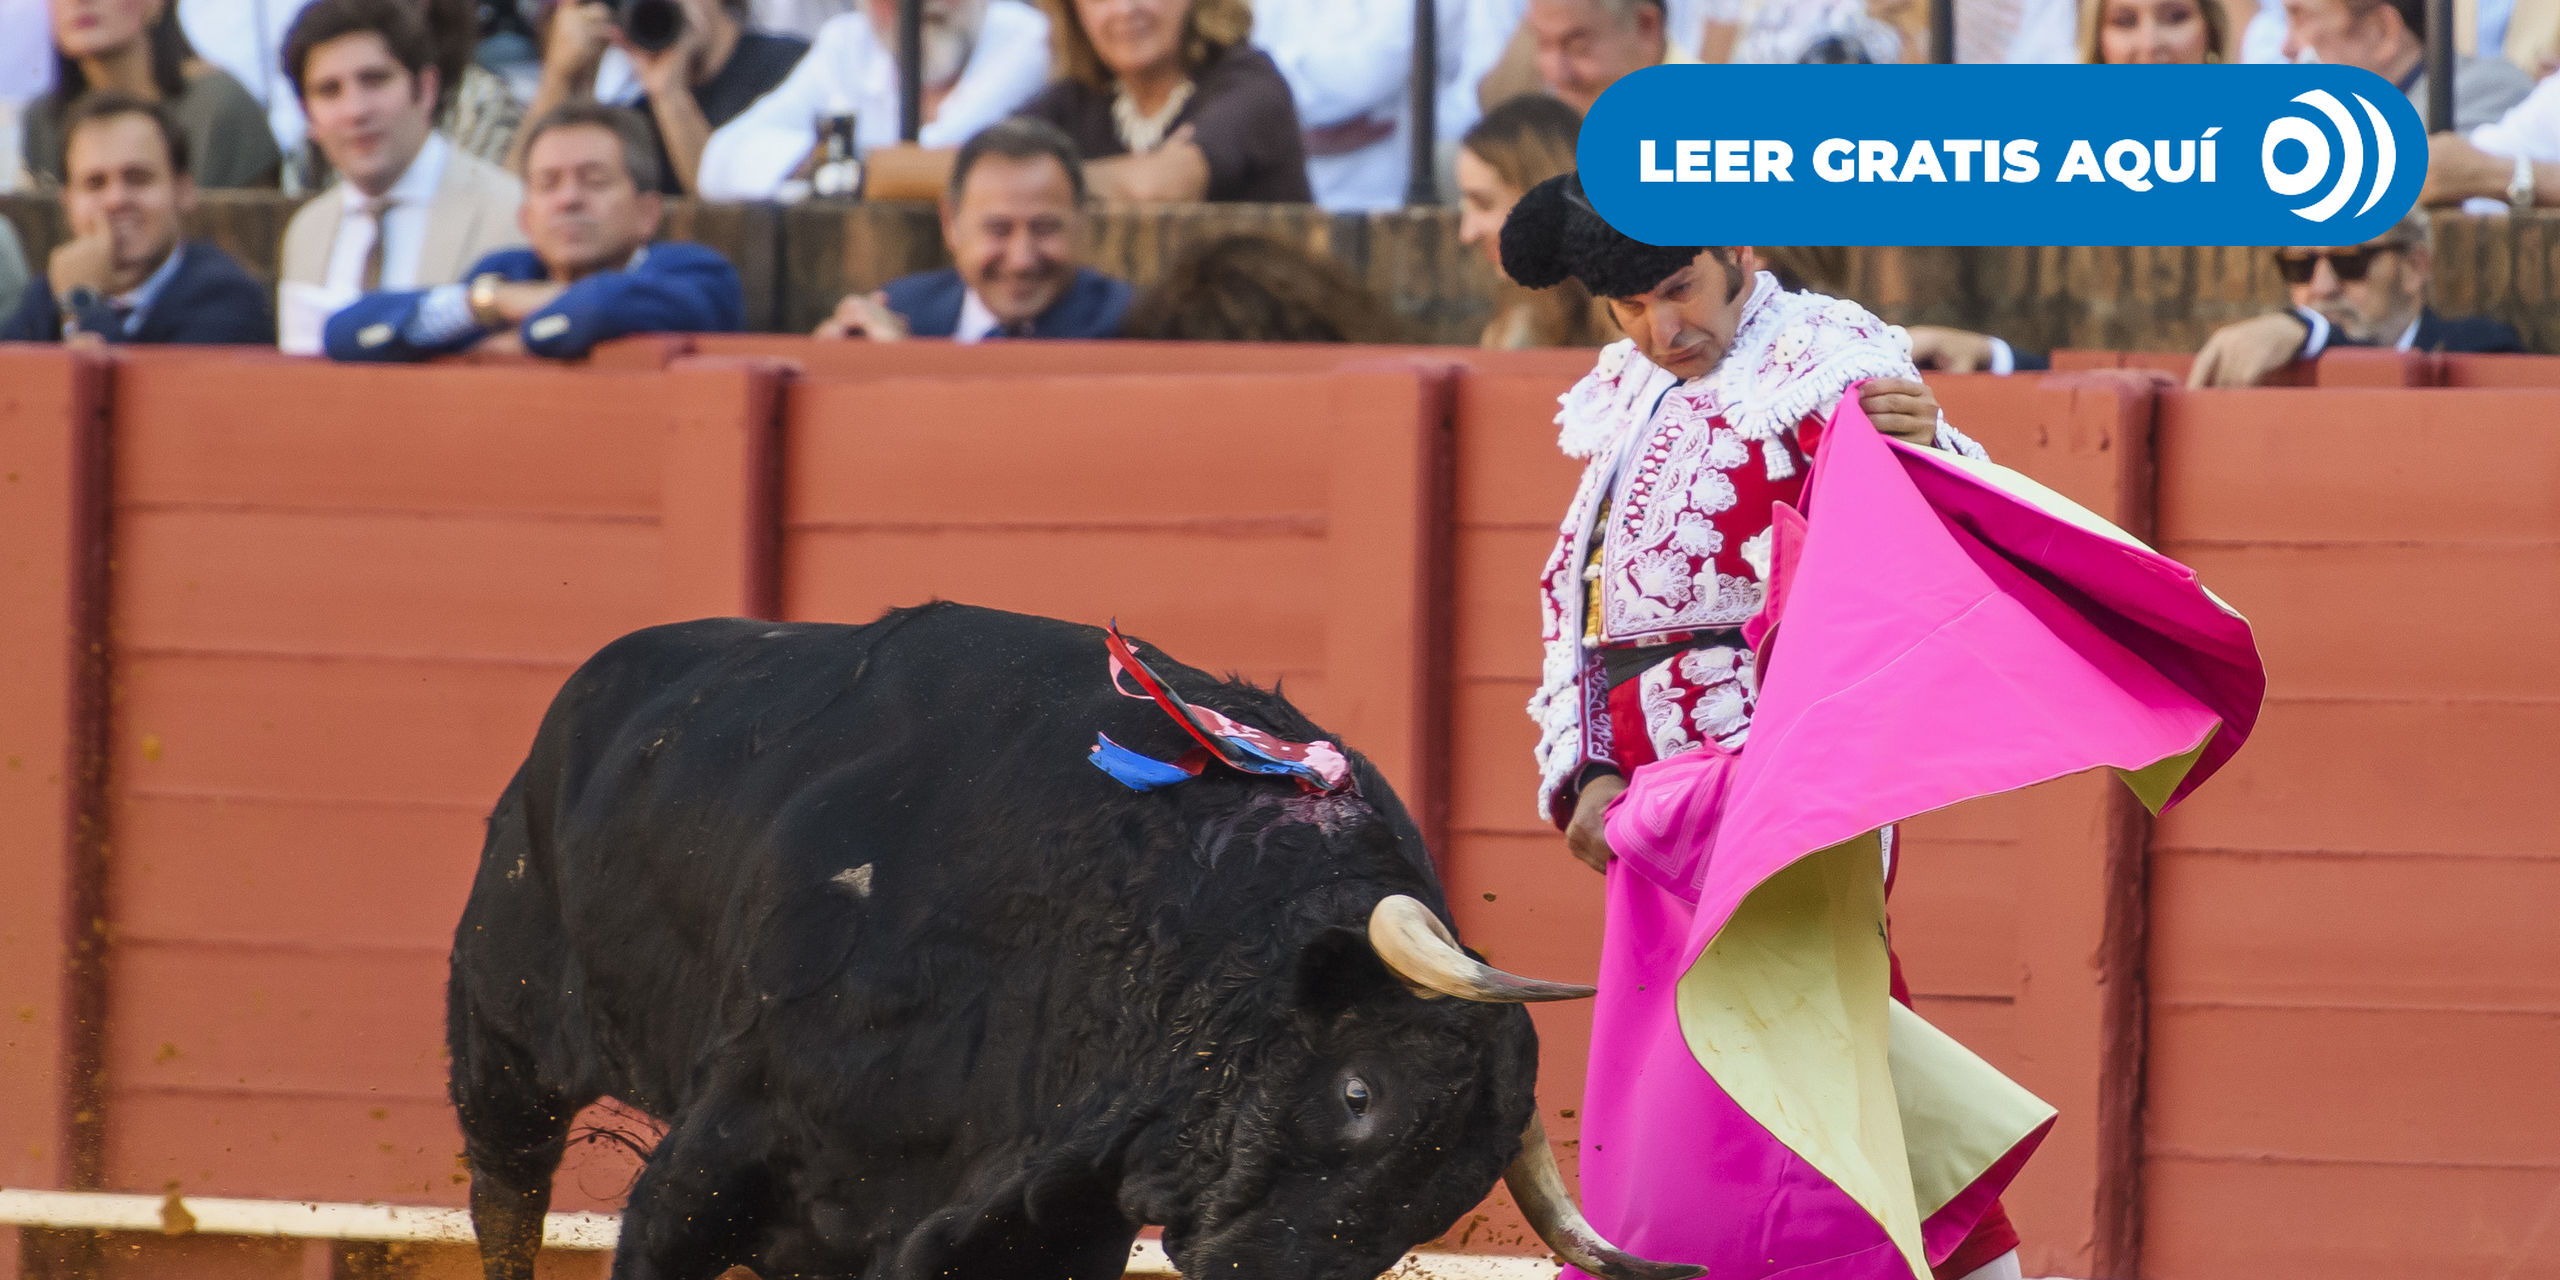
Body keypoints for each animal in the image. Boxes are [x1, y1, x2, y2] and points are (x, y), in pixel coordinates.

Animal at [455, 604, 1699, 1280]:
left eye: (1443, 1191)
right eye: (1359, 1092)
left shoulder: (1040, 1225)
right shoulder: (724, 1135)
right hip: (500, 1022)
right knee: (507, 1187)